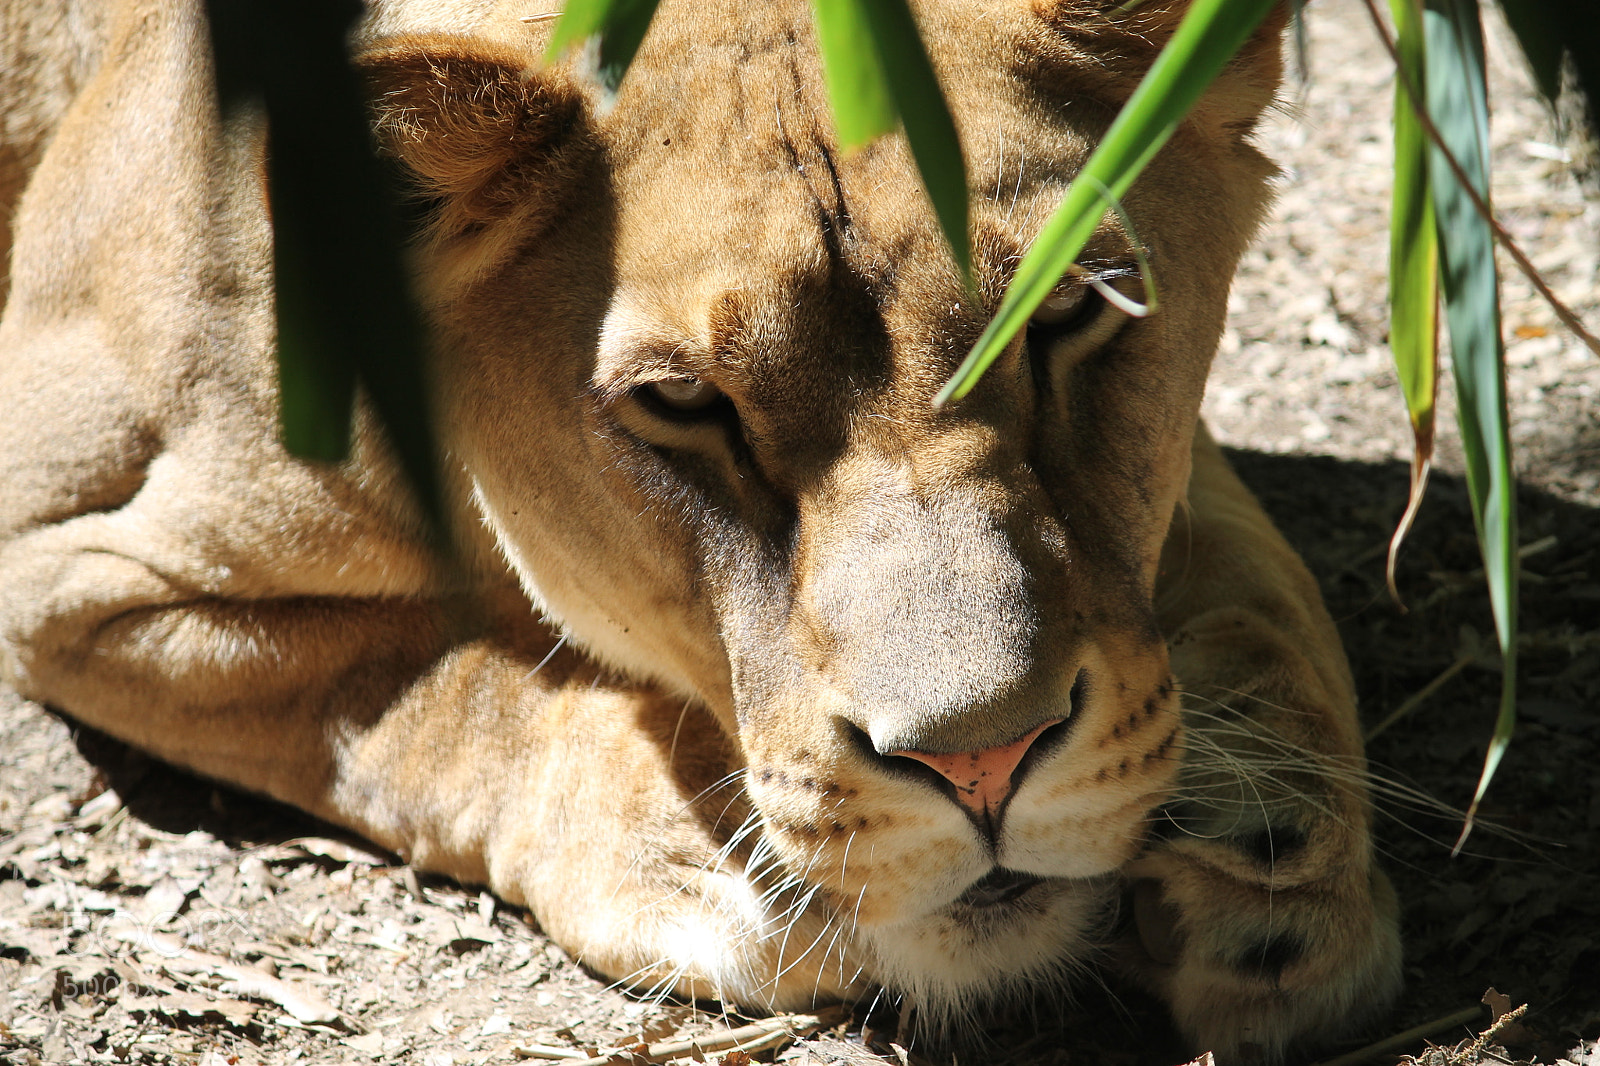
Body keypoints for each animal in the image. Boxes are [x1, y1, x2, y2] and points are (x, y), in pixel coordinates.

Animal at [0, 0, 1401, 1059]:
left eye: (1069, 313)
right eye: (681, 403)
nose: (982, 764)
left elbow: (1261, 587)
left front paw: (1270, 849)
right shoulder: (59, 548)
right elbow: (423, 697)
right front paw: (706, 854)